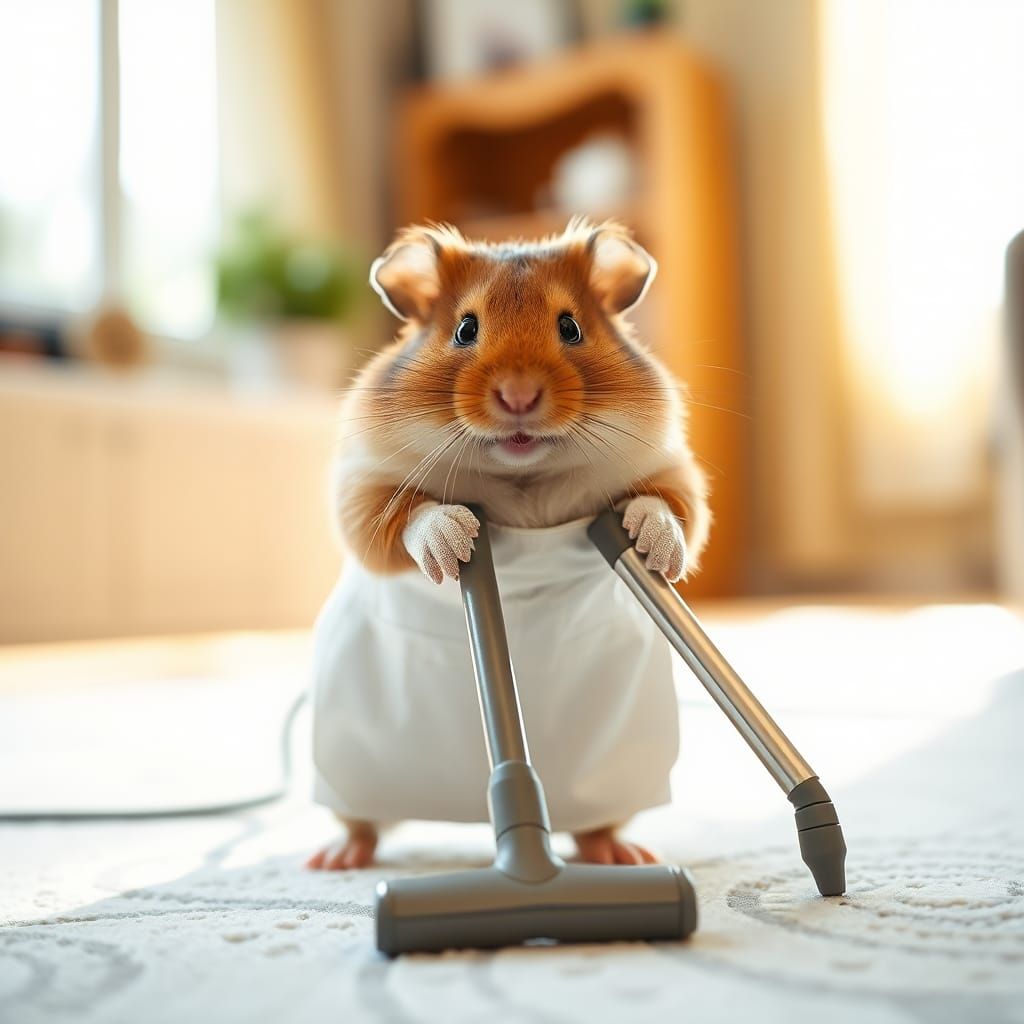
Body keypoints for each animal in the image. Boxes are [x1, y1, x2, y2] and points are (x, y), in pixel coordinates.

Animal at [307, 218, 710, 871]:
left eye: (570, 327)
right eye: (465, 329)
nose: (519, 396)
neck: (522, 478)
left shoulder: (675, 474)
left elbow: (667, 511)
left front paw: (654, 549)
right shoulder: (362, 494)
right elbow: (415, 519)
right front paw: (456, 541)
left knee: (596, 827)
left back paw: (624, 855)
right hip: (349, 769)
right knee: (359, 822)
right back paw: (336, 860)